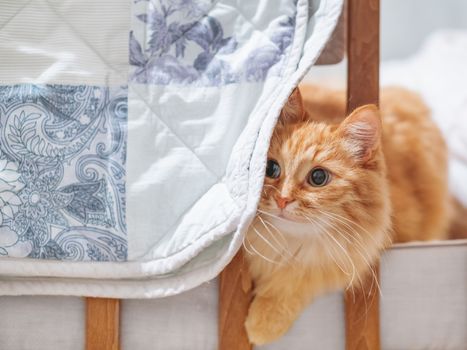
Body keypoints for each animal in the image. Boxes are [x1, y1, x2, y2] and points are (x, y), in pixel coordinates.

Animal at [247, 85, 452, 344]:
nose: (282, 199)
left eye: (318, 177)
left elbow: (299, 278)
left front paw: (263, 323)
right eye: (271, 168)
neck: (286, 245)